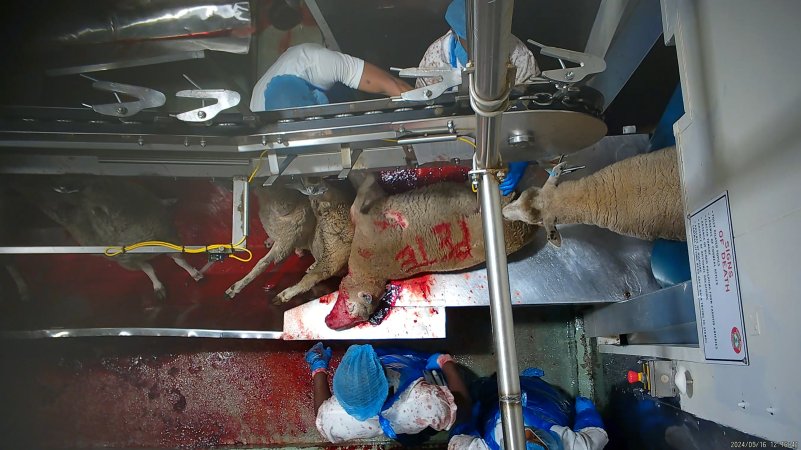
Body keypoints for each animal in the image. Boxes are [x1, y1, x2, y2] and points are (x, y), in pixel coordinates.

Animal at [13, 176, 203, 298]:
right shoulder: (127, 259)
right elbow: (148, 268)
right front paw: (157, 283)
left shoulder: (167, 235)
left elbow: (178, 258)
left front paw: (193, 271)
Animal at [322, 176, 536, 330]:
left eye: (351, 309)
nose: (329, 323)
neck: (368, 272)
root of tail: (525, 232)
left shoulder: (368, 226)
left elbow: (357, 203)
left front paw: (363, 177)